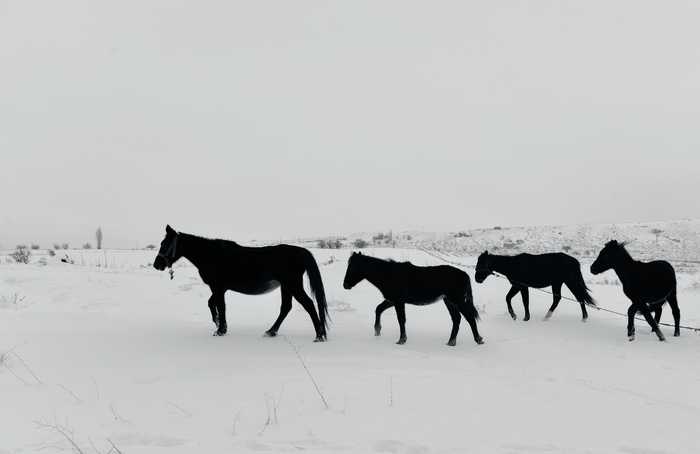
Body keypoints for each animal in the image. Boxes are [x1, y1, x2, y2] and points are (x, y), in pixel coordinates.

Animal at [153, 225, 329, 341]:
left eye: (165, 245)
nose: (156, 264)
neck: (210, 255)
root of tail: (300, 251)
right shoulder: (220, 288)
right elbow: (212, 304)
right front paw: (218, 323)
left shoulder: (217, 287)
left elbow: (220, 306)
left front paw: (220, 330)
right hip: (286, 287)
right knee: (286, 308)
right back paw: (271, 331)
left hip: (292, 285)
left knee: (308, 304)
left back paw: (319, 335)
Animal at [342, 252, 483, 346]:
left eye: (352, 267)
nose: (345, 285)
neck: (388, 275)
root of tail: (464, 275)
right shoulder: (391, 300)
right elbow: (379, 309)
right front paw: (377, 331)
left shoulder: (398, 301)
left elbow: (401, 319)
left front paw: (401, 340)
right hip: (449, 301)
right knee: (456, 318)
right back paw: (451, 342)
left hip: (456, 300)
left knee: (469, 317)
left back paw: (478, 339)